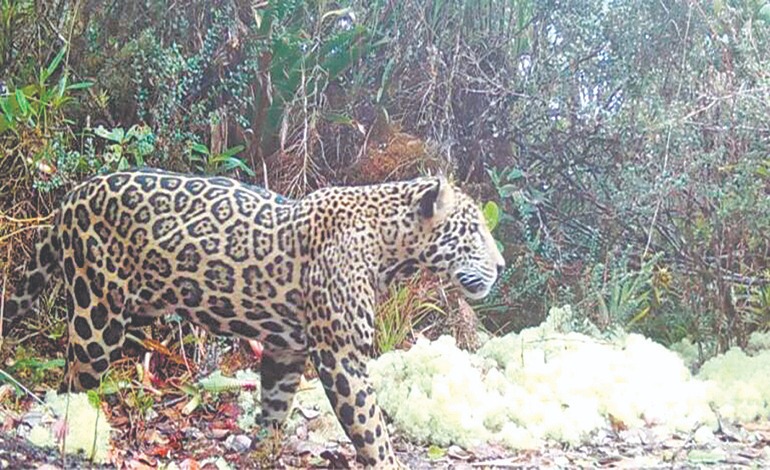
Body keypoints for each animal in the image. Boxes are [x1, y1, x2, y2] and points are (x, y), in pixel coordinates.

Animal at [3, 168, 504, 468]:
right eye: (474, 231)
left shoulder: (286, 349)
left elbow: (275, 407)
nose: (501, 266)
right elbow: (371, 428)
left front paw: (264, 452)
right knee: (74, 385)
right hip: (97, 315)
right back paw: (74, 437)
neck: (390, 248)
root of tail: (74, 194)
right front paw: (386, 461)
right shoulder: (341, 356)